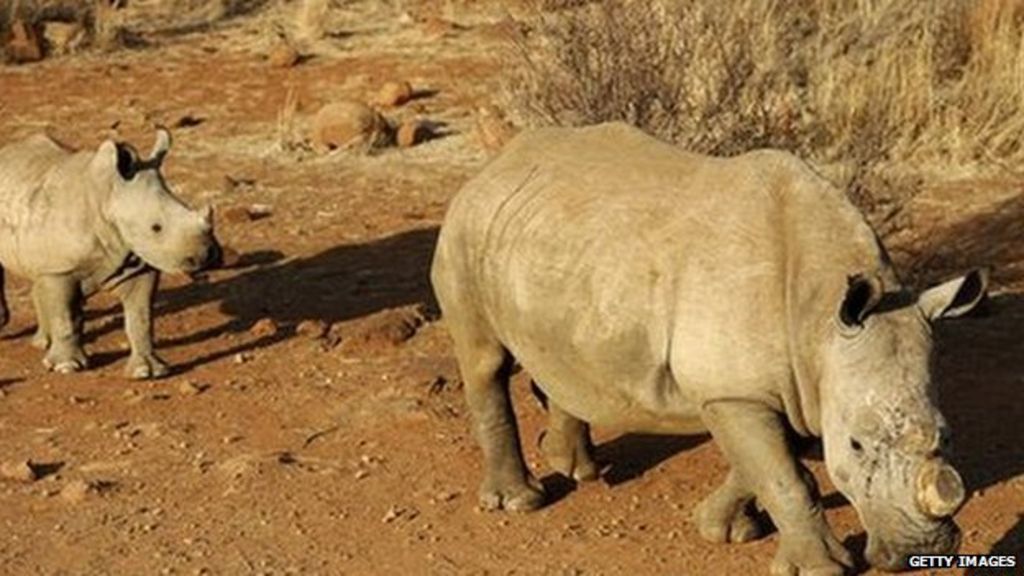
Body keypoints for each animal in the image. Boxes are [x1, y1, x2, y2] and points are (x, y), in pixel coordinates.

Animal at [0, 127, 222, 377]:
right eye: (156, 227)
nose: (207, 257)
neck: (110, 196)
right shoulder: (60, 267)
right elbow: (65, 317)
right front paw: (67, 367)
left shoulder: (137, 263)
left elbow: (141, 317)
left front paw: (147, 371)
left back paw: (42, 344)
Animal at [430, 123, 983, 569]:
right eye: (856, 445)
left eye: (948, 435)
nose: (920, 552)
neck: (818, 314)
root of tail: (494, 164)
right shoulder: (737, 390)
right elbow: (783, 474)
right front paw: (821, 568)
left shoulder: (783, 383)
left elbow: (764, 464)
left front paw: (725, 530)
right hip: (466, 229)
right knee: (485, 362)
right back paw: (522, 502)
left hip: (554, 246)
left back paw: (577, 470)